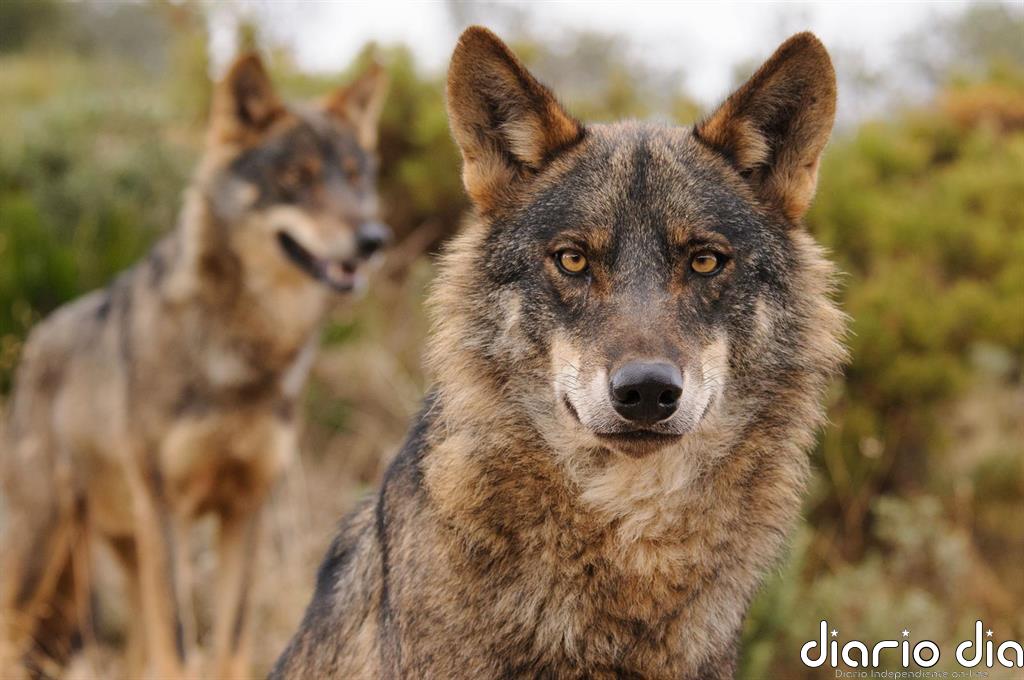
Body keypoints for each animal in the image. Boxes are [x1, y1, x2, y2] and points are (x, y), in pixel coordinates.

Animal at [0, 53, 388, 678]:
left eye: (354, 177)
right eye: (297, 178)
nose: (374, 239)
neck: (243, 357)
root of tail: (35, 338)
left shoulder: (245, 510)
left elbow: (229, 641)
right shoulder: (168, 511)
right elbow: (180, 645)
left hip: (123, 553)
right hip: (45, 548)